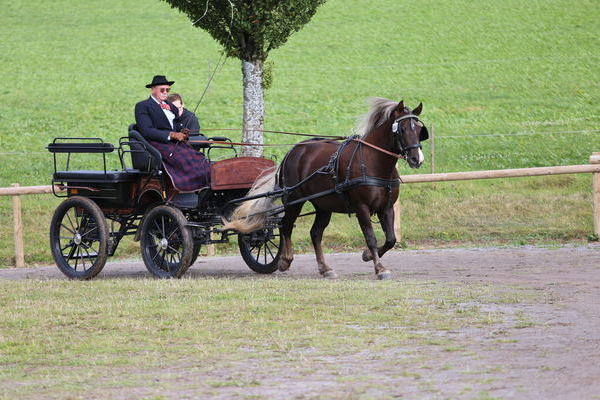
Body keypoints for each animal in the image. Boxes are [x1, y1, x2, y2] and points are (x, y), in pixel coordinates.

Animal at [224, 97, 426, 280]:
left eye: (419, 130)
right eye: (402, 129)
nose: (417, 159)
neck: (371, 162)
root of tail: (293, 150)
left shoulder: (386, 207)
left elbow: (391, 239)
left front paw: (367, 256)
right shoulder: (361, 208)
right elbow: (371, 238)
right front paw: (380, 269)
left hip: (323, 205)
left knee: (315, 233)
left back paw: (325, 268)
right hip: (293, 200)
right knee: (286, 226)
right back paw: (285, 261)